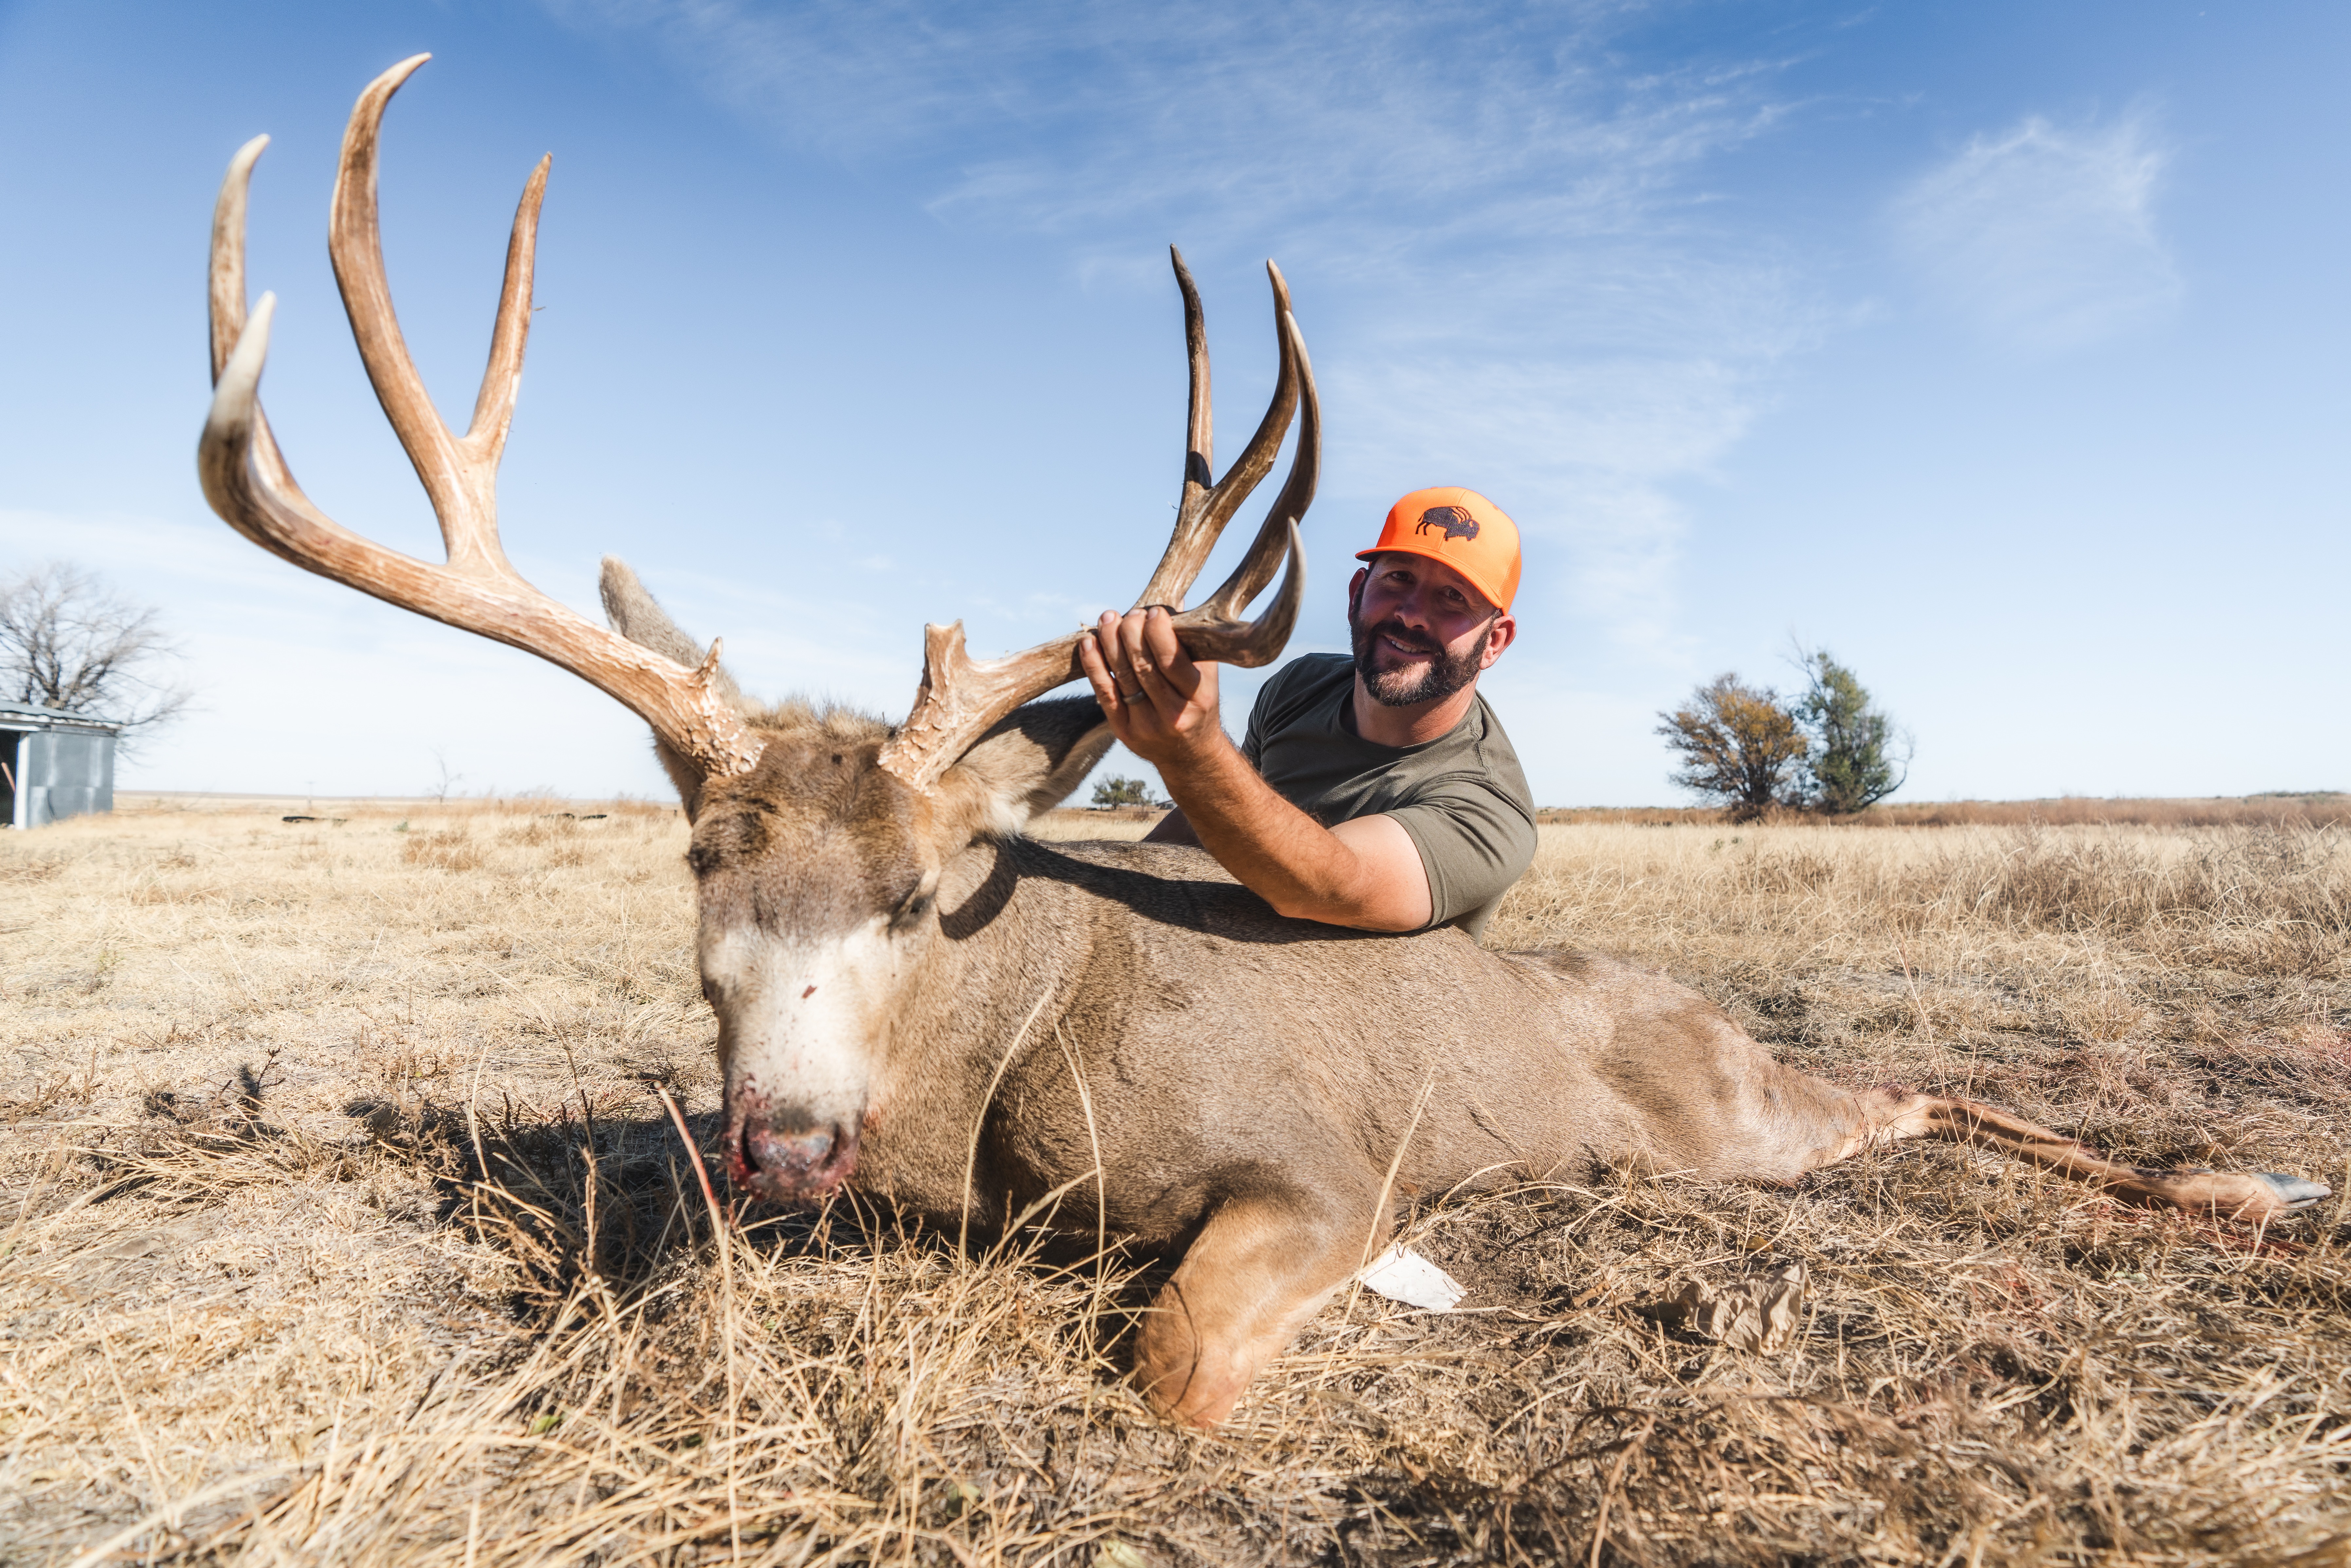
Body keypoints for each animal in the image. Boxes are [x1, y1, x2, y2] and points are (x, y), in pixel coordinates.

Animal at [198, 57, 2331, 1430]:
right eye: (703, 868)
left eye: (919, 886)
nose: (787, 1137)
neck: (1010, 1064)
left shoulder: (1303, 1162)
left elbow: (1183, 1364)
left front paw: (1409, 1275)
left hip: (1737, 1123)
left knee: (1914, 1095)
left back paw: (2251, 1191)